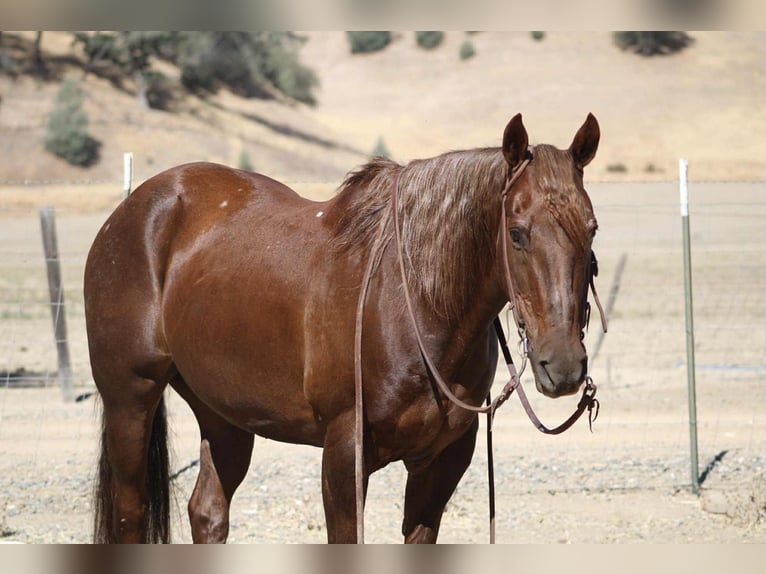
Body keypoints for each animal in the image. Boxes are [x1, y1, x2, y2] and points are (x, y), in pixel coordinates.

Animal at [85, 113, 601, 543]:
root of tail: (130, 211)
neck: (413, 301)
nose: (563, 366)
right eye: (517, 232)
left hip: (223, 414)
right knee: (130, 515)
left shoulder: (442, 462)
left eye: (591, 228)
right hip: (130, 399)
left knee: (207, 512)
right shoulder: (343, 454)